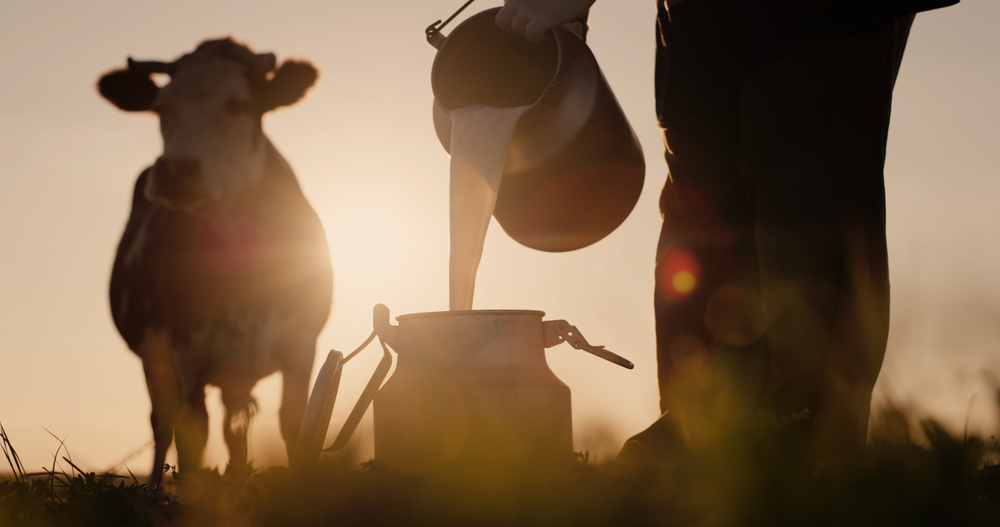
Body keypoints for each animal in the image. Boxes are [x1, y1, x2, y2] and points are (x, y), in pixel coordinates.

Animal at [101, 38, 336, 486]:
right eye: (162, 107)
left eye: (238, 104)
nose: (175, 170)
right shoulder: (186, 357)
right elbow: (192, 438)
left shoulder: (301, 347)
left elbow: (295, 425)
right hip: (155, 359)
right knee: (163, 422)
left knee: (234, 427)